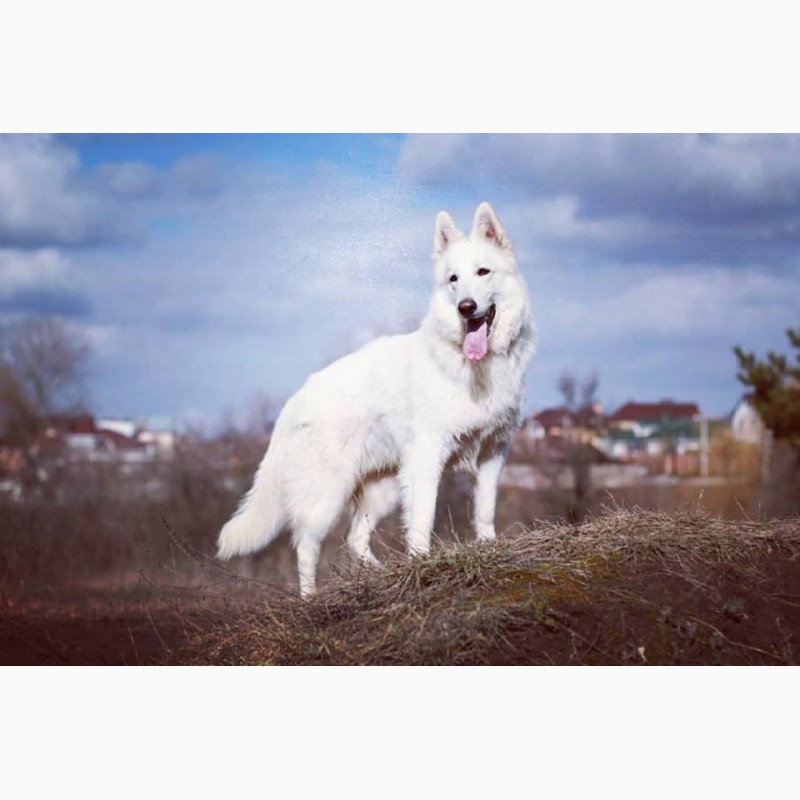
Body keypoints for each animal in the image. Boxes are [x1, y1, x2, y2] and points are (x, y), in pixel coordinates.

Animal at [217, 203, 536, 596]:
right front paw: (422, 566)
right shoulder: (428, 457)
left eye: (483, 272)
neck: (475, 366)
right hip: (327, 495)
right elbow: (423, 518)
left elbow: (485, 511)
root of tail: (296, 398)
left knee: (354, 538)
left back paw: (378, 575)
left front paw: (488, 551)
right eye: (453, 279)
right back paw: (310, 598)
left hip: (382, 490)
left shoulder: (493, 451)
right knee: (306, 545)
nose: (465, 307)